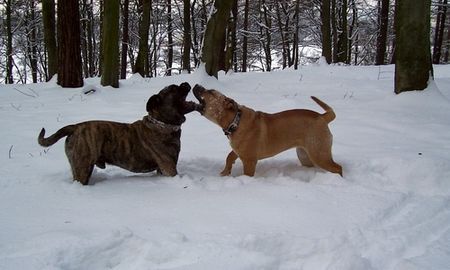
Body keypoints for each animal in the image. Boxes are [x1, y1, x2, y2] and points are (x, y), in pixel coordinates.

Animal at [40, 81, 197, 185]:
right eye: (173, 88)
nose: (185, 82)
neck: (161, 124)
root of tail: (75, 127)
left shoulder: (162, 169)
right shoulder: (168, 167)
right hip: (82, 166)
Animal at [192, 84, 342, 177]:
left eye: (211, 91)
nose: (197, 85)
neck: (235, 120)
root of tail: (322, 117)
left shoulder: (249, 160)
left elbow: (246, 173)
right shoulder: (239, 150)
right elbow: (229, 156)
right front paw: (225, 172)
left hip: (319, 153)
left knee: (338, 168)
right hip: (305, 155)